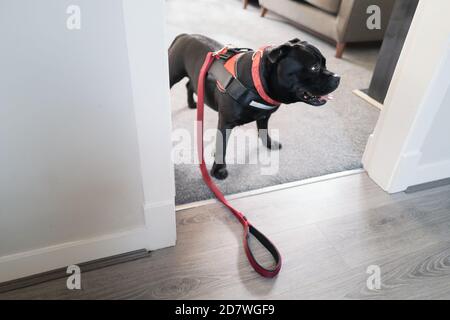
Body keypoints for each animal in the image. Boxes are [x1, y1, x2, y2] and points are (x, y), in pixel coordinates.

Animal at [169, 35, 338, 181]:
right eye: (314, 67)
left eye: (325, 64)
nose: (337, 77)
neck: (258, 82)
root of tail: (185, 35)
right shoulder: (225, 122)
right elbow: (222, 146)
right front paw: (218, 170)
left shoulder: (264, 116)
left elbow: (263, 131)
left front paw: (269, 144)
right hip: (173, 74)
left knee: (190, 84)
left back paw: (192, 104)